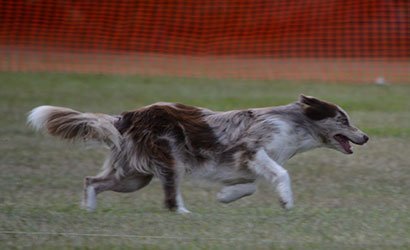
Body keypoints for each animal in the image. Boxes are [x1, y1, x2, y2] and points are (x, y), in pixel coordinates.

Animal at [28, 94, 368, 214]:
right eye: (344, 120)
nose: (366, 137)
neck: (294, 125)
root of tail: (127, 116)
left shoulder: (247, 164)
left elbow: (251, 185)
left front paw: (226, 196)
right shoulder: (252, 149)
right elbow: (281, 174)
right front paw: (286, 201)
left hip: (133, 176)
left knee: (91, 181)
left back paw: (89, 209)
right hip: (168, 160)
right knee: (169, 197)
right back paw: (183, 212)